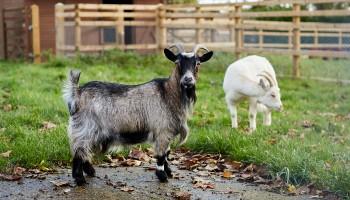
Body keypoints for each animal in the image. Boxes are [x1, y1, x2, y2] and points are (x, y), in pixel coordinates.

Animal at [63, 44, 213, 185]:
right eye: (177, 62)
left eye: (198, 63)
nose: (188, 80)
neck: (167, 93)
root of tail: (77, 92)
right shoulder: (162, 131)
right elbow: (161, 155)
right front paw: (162, 176)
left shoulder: (167, 132)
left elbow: (167, 153)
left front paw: (169, 172)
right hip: (85, 128)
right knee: (79, 151)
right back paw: (80, 179)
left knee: (84, 151)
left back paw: (90, 171)